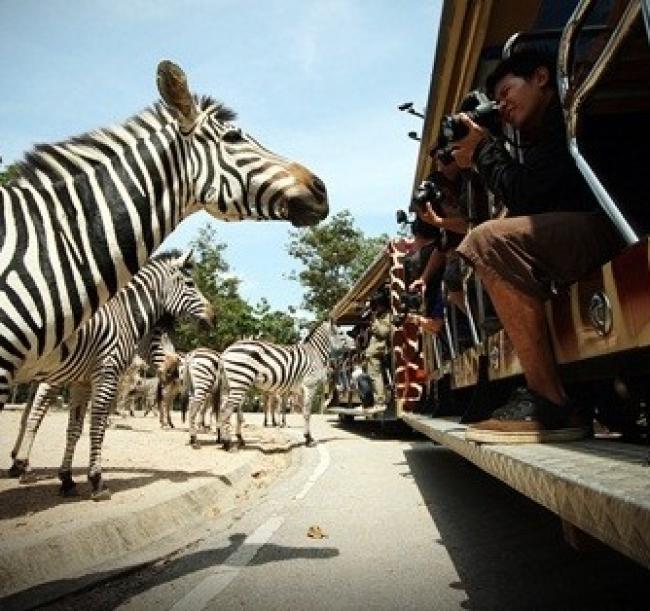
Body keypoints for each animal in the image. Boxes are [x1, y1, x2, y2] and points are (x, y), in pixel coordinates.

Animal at [8, 251, 211, 500]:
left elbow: (64, 426)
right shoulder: (70, 379)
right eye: (157, 333)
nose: (174, 370)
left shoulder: (76, 381)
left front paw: (51, 474)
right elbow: (41, 418)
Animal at [219, 320, 340, 450]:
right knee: (227, 410)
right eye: (342, 333)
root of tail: (226, 351)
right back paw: (227, 443)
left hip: (232, 385)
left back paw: (231, 439)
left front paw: (286, 426)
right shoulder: (309, 386)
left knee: (227, 409)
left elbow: (293, 409)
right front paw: (308, 439)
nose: (332, 372)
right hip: (241, 381)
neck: (314, 353)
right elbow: (306, 412)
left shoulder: (294, 390)